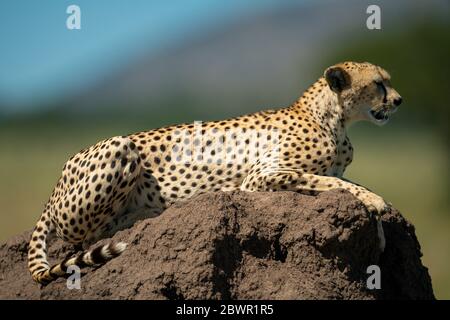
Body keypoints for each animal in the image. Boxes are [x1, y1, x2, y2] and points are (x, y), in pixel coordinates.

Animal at [27, 61, 400, 284]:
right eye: (378, 84)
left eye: (388, 82)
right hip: (119, 148)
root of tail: (54, 187)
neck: (332, 118)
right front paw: (374, 204)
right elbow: (330, 181)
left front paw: (379, 227)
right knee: (85, 237)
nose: (398, 101)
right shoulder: (260, 177)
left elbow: (348, 181)